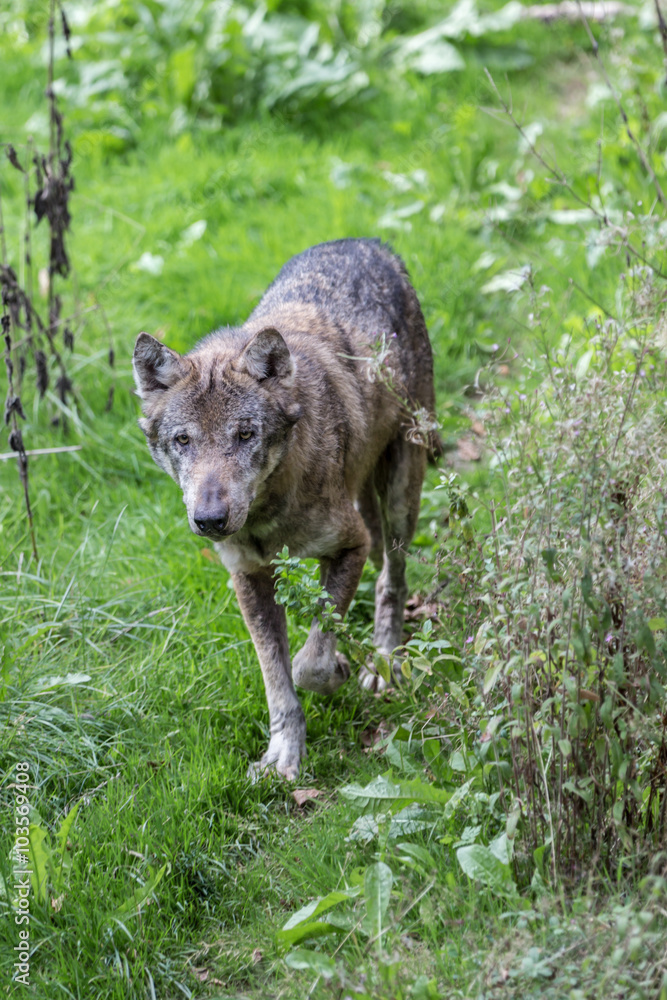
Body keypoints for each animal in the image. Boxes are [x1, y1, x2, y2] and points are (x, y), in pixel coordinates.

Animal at [133, 238, 437, 779]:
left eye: (245, 434)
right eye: (183, 441)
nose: (210, 520)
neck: (267, 516)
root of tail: (368, 242)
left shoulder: (350, 545)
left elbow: (308, 663)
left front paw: (338, 669)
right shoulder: (249, 579)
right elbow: (277, 682)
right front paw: (284, 754)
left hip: (403, 490)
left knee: (392, 578)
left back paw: (383, 663)